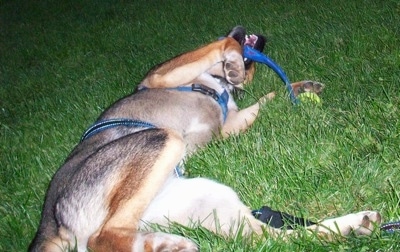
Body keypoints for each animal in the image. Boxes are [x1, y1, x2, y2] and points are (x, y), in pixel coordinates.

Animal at [29, 26, 380, 252]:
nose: (251, 33)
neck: (216, 83)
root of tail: (49, 222)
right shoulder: (160, 75)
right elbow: (221, 44)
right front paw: (234, 57)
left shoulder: (230, 124)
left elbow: (268, 97)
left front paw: (299, 87)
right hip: (162, 139)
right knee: (101, 237)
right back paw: (162, 243)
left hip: (203, 194)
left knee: (271, 239)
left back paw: (354, 224)